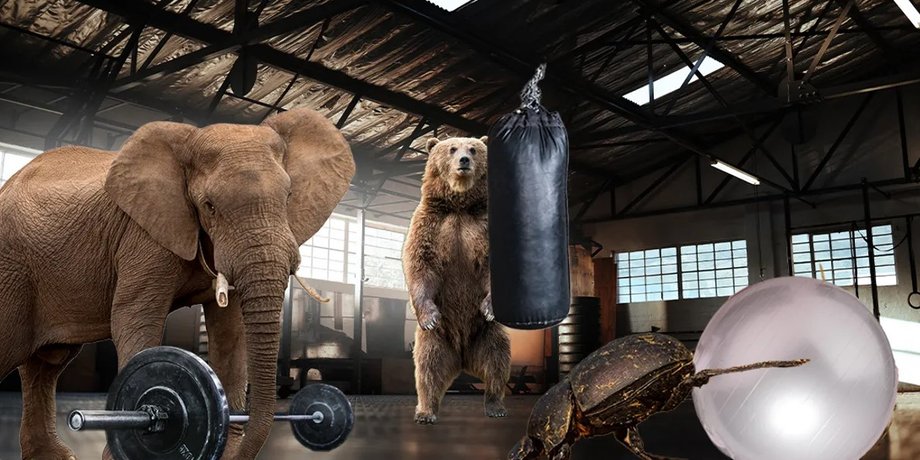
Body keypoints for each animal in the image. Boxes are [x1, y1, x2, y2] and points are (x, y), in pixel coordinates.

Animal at [0, 108, 355, 459]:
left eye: (288, 197)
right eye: (209, 206)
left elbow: (230, 333)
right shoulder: (144, 235)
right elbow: (134, 318)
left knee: (46, 365)